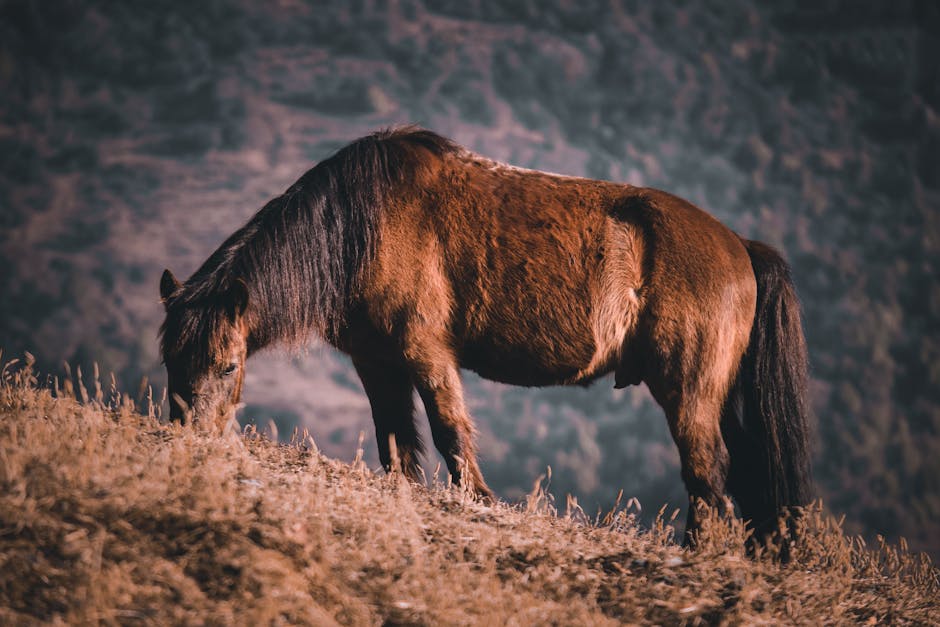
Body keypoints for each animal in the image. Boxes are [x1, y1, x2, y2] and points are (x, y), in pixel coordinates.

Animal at [158, 125, 812, 544]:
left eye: (228, 365)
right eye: (168, 361)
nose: (192, 442)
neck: (359, 225)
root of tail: (739, 247)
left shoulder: (425, 352)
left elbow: (449, 428)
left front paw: (479, 499)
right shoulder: (376, 363)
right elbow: (397, 441)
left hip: (689, 392)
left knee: (708, 475)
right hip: (720, 397)